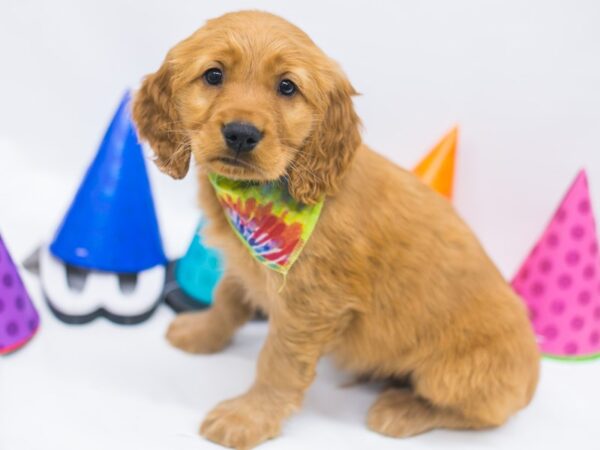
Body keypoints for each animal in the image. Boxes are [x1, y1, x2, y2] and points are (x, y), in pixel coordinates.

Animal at [132, 10, 540, 450]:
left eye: (287, 87)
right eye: (213, 75)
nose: (241, 133)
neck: (267, 192)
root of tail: (532, 379)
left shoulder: (311, 305)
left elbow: (278, 361)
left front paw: (247, 418)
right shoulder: (248, 265)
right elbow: (227, 297)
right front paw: (202, 331)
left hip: (454, 375)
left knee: (483, 415)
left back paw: (403, 409)